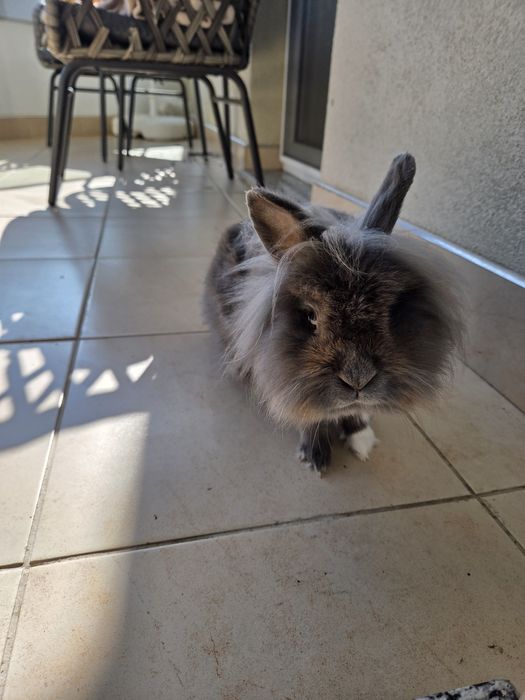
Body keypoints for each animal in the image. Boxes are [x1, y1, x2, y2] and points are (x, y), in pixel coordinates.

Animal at [204, 153, 462, 475]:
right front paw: (315, 457)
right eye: (311, 318)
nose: (357, 379)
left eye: (391, 312)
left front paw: (361, 439)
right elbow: (311, 416)